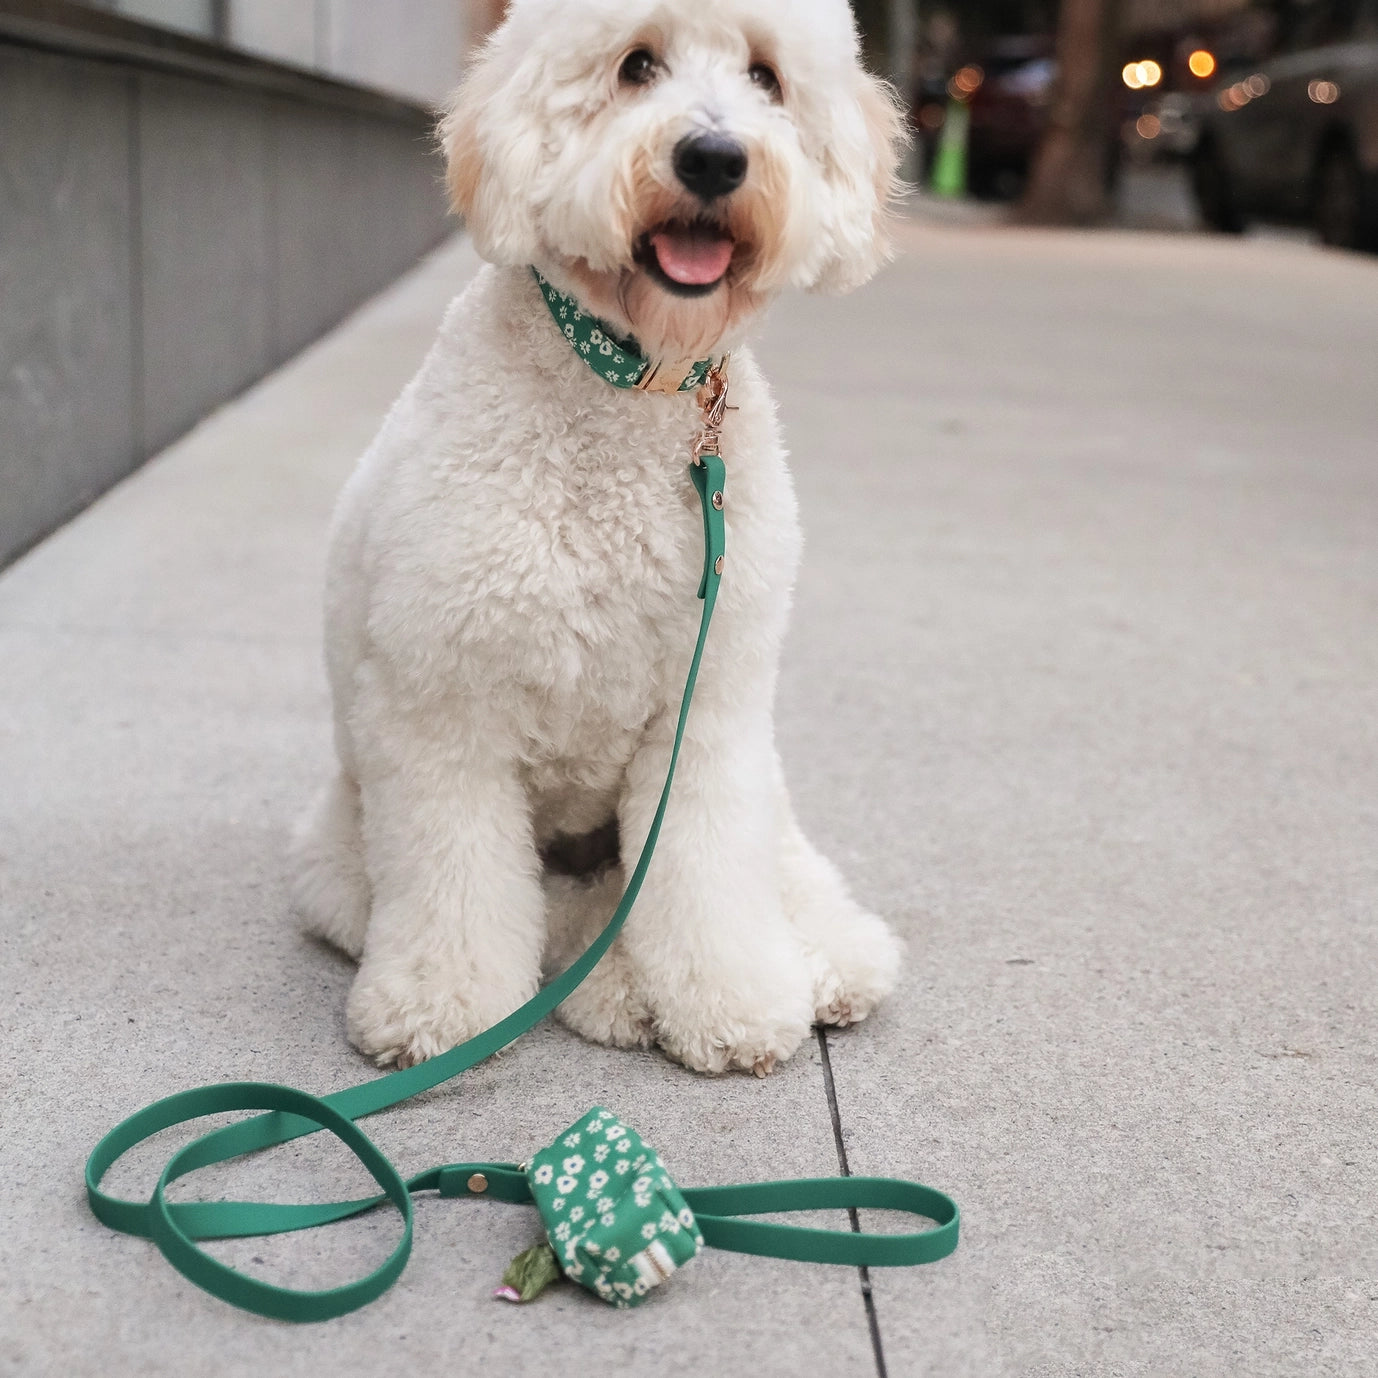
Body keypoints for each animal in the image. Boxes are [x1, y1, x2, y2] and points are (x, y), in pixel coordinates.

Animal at [293, 0, 903, 1074]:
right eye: (635, 65)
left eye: (766, 78)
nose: (714, 157)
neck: (629, 384)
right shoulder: (440, 710)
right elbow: (455, 880)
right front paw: (443, 1007)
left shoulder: (709, 709)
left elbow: (709, 872)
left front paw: (733, 998)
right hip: (343, 854)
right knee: (558, 917)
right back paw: (613, 992)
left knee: (767, 866)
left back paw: (826, 959)